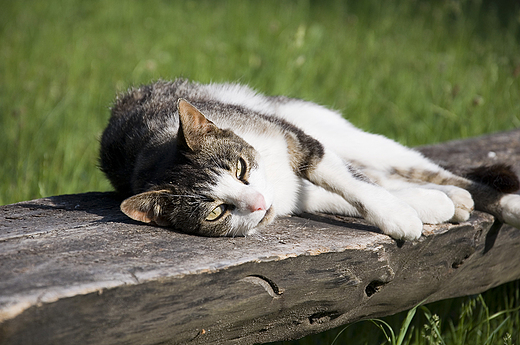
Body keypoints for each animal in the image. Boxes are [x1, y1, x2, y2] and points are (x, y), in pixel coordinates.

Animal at [98, 78, 520, 239]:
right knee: (386, 175)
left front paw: (397, 215)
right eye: (216, 211)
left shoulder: (296, 140)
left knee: (410, 167)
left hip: (332, 128)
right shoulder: (294, 196)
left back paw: (500, 201)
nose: (258, 202)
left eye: (240, 168)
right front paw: (421, 206)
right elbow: (344, 194)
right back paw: (450, 199)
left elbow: (353, 184)